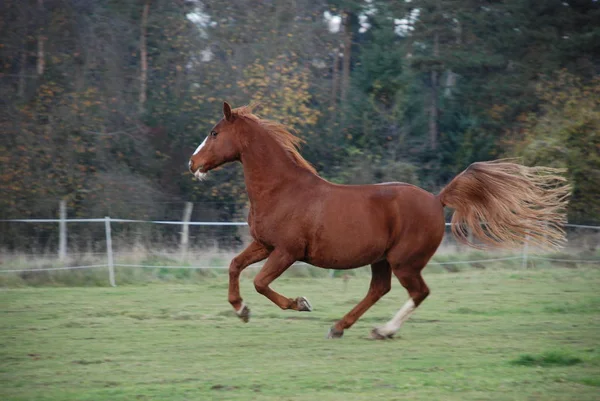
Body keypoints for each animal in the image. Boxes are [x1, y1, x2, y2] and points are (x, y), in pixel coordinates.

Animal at [186, 101, 568, 340]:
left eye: (215, 133)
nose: (192, 164)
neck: (282, 190)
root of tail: (437, 199)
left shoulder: (286, 251)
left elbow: (261, 282)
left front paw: (300, 304)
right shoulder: (264, 244)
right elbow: (235, 266)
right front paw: (241, 310)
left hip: (404, 261)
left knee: (417, 292)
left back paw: (382, 331)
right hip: (382, 259)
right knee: (379, 289)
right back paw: (339, 327)